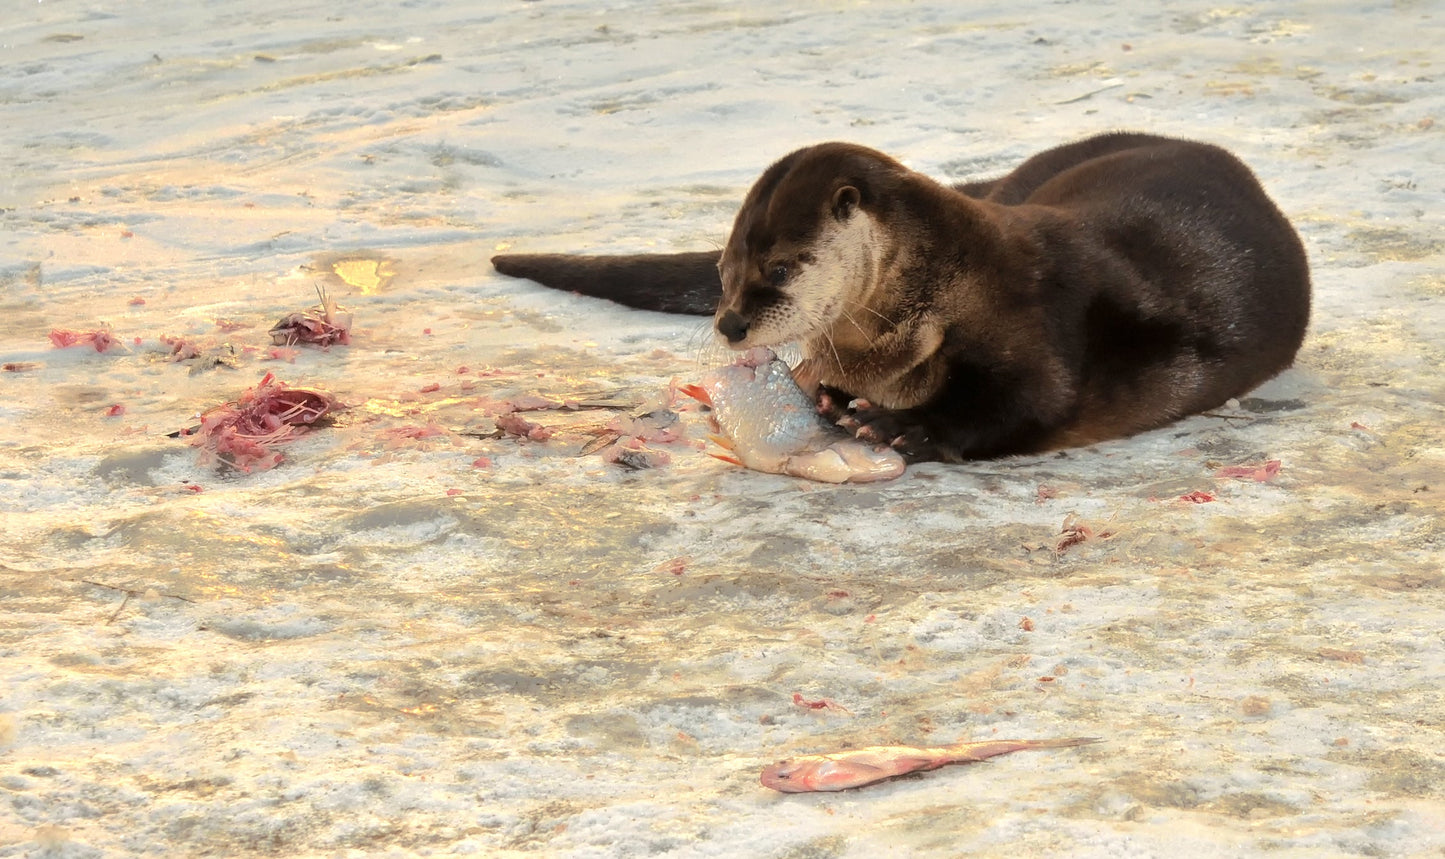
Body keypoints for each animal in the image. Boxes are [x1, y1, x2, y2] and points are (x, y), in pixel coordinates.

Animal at [492, 132, 1310, 462]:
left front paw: (899, 428)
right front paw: (826, 397)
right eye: (725, 267)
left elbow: (1031, 400)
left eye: (779, 268)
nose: (729, 324)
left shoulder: (1039, 319)